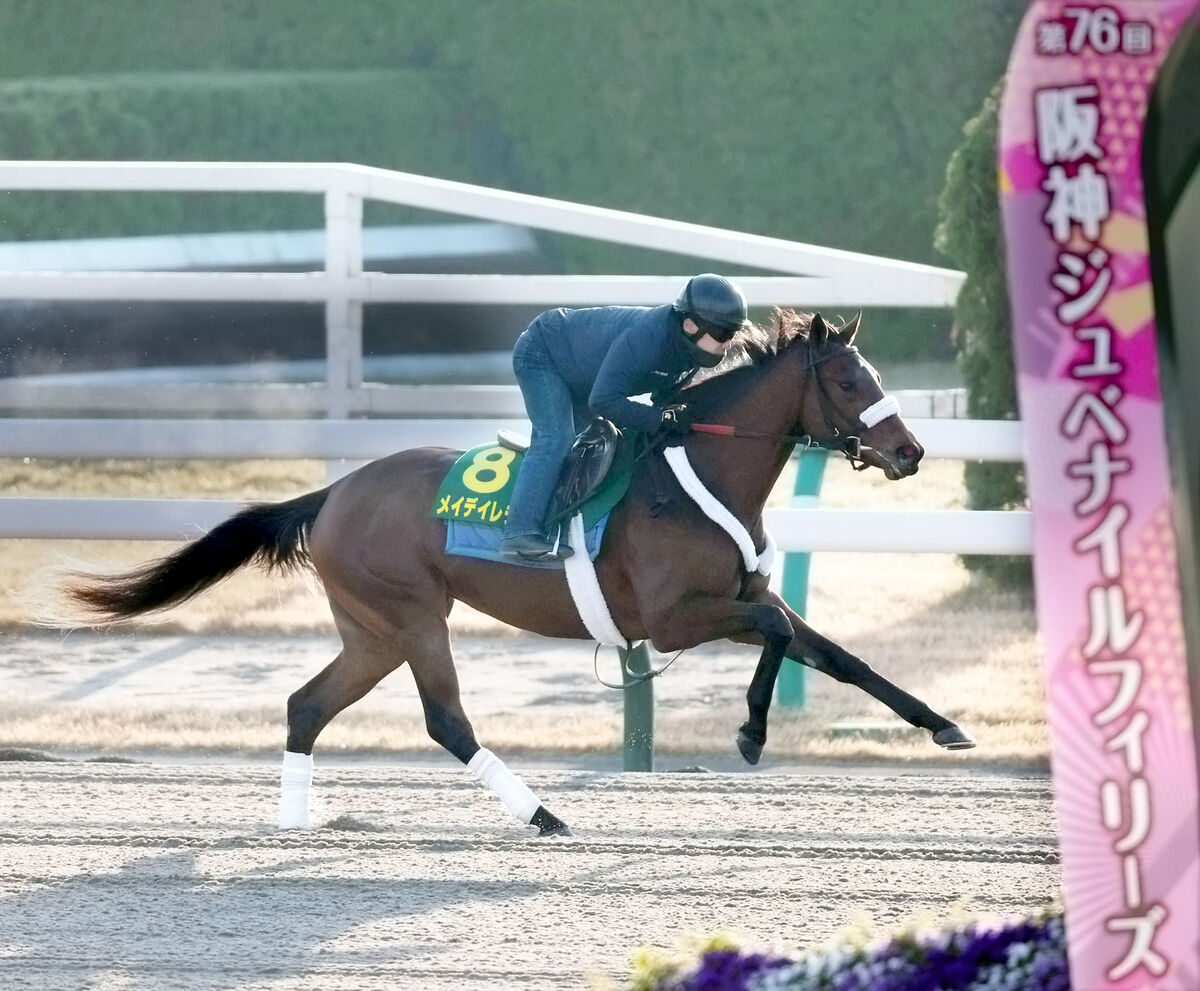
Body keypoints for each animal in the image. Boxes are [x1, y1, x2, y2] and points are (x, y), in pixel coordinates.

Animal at [58, 309, 974, 835]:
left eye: (876, 375)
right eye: (850, 379)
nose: (910, 451)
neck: (700, 473)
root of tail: (332, 491)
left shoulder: (745, 593)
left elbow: (840, 655)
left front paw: (943, 725)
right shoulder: (675, 616)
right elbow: (780, 632)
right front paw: (750, 732)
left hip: (372, 632)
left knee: (306, 705)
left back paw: (294, 823)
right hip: (415, 617)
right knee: (446, 722)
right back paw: (542, 813)